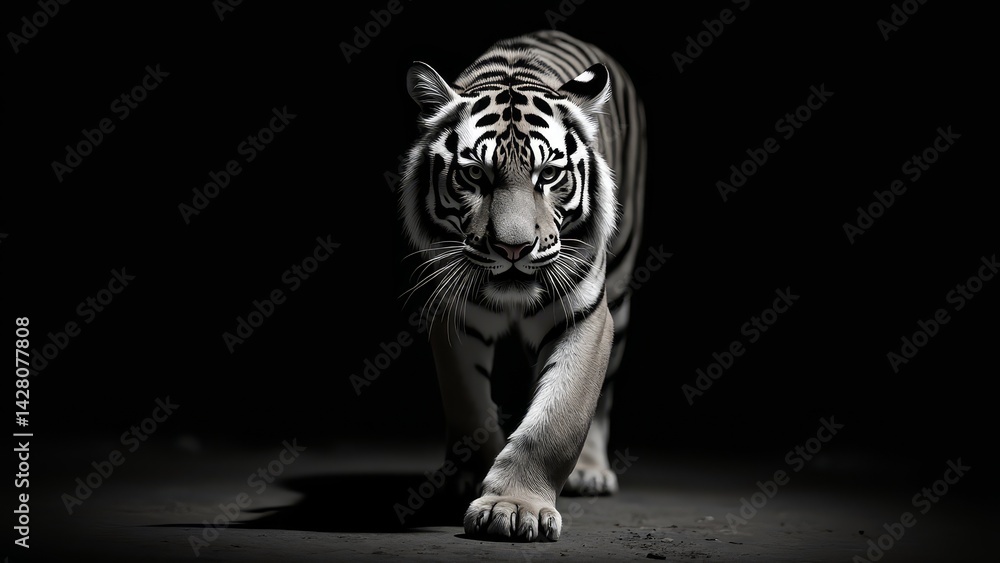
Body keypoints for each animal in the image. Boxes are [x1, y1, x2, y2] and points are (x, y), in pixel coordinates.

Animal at [398, 29, 646, 541]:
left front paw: (514, 507)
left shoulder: (586, 316)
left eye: (547, 175)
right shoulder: (453, 312)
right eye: (475, 174)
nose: (513, 248)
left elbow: (557, 419)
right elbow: (467, 402)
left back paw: (590, 472)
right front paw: (474, 477)